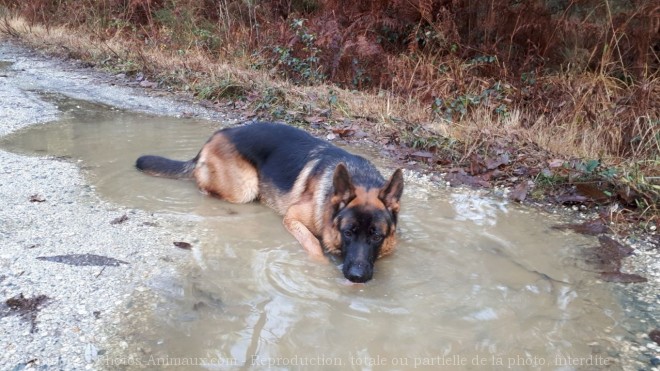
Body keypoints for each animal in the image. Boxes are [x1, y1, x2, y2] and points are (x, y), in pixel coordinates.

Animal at [135, 123, 402, 284]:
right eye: (348, 233)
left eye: (376, 236)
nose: (357, 276)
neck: (361, 177)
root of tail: (217, 135)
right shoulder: (292, 217)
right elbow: (314, 244)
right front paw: (319, 266)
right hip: (244, 188)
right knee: (203, 183)